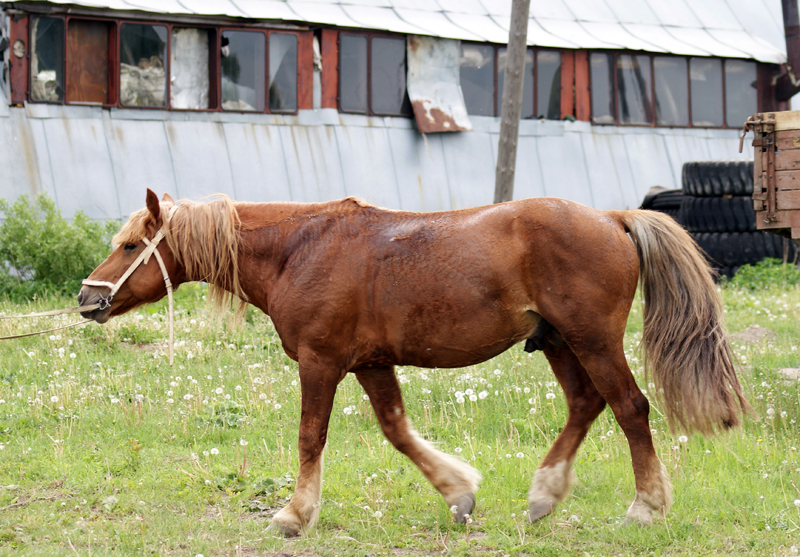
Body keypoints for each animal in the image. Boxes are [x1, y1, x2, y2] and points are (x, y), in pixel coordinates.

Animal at [78, 190, 748, 536]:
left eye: (131, 246)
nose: (88, 298)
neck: (300, 249)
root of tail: (613, 218)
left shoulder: (321, 363)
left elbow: (310, 438)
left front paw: (294, 514)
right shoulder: (371, 364)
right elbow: (398, 431)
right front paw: (459, 493)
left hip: (594, 341)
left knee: (630, 408)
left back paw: (646, 506)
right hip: (559, 343)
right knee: (586, 405)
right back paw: (543, 496)